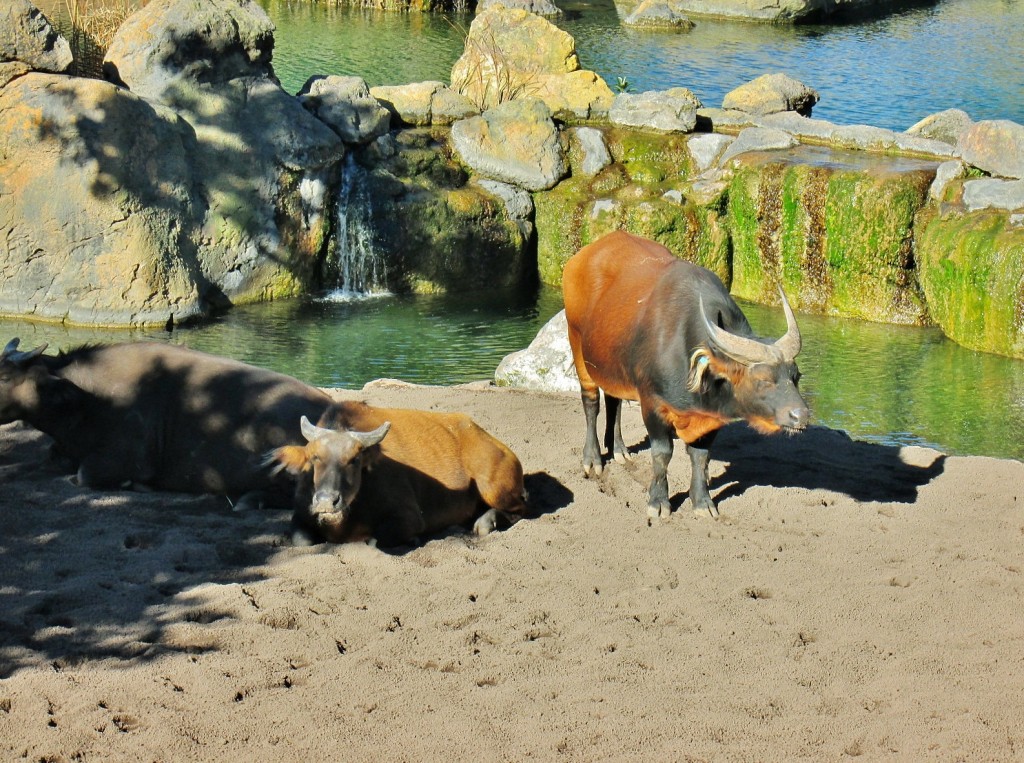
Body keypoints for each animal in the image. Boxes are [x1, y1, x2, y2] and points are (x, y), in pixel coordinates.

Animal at [268, 401, 532, 544]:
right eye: (314, 457)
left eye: (354, 459)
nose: (326, 501)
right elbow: (301, 540)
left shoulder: (409, 517)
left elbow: (376, 539)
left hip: (493, 488)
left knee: (521, 510)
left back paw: (487, 522)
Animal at [561, 230, 806, 518]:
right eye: (763, 380)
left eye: (796, 376)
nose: (801, 415)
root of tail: (580, 258)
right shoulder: (652, 403)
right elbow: (662, 452)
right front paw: (658, 501)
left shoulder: (709, 417)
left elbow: (701, 456)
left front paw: (702, 501)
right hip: (577, 341)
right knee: (591, 402)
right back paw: (592, 458)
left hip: (610, 362)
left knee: (614, 400)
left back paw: (619, 449)